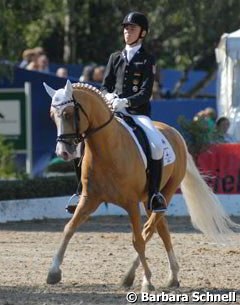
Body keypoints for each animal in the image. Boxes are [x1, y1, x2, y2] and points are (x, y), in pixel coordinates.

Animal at [43, 79, 238, 290]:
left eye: (68, 114)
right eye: (52, 117)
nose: (63, 152)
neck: (106, 149)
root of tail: (174, 133)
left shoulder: (131, 203)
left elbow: (138, 240)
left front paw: (148, 281)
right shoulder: (89, 199)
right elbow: (69, 228)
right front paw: (53, 273)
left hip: (166, 192)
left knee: (150, 229)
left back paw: (135, 276)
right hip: (148, 199)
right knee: (162, 229)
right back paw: (172, 276)